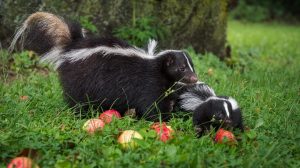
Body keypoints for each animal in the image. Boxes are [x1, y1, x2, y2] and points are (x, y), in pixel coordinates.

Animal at [9, 11, 198, 121]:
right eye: (181, 68)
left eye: (192, 67)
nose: (195, 78)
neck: (156, 66)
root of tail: (72, 46)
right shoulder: (148, 84)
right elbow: (152, 105)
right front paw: (162, 120)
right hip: (81, 80)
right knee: (78, 101)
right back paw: (80, 115)